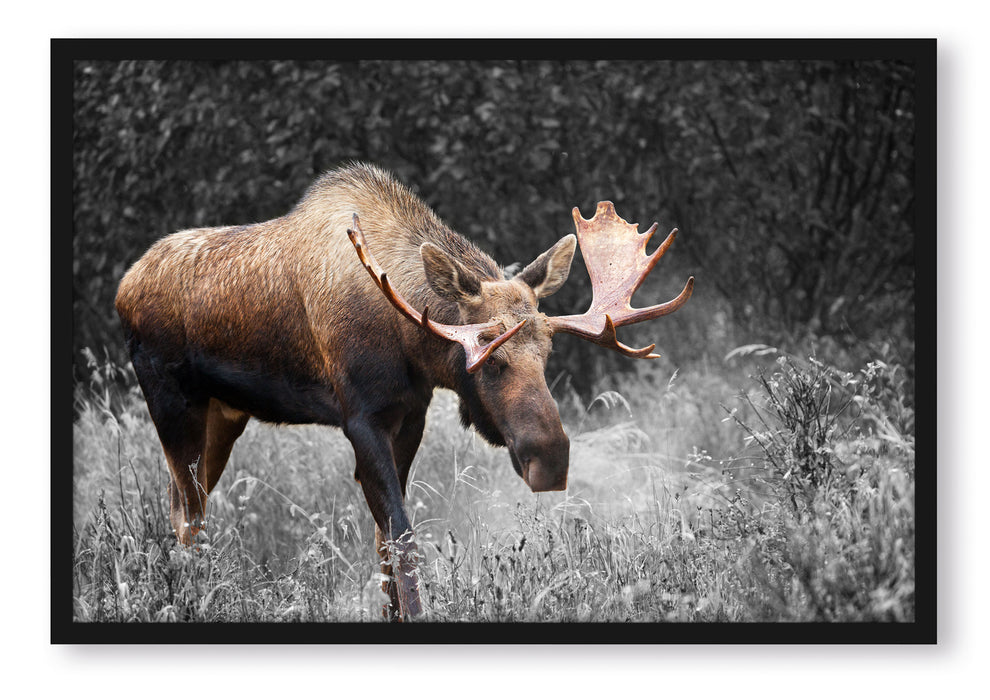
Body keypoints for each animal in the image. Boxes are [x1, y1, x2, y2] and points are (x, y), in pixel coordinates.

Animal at [112, 163, 692, 616]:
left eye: (547, 353)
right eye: (489, 358)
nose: (550, 458)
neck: (410, 343)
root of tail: (124, 287)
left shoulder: (409, 415)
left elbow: (384, 543)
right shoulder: (360, 418)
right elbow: (404, 537)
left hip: (224, 414)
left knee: (184, 506)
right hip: (171, 400)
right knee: (187, 515)